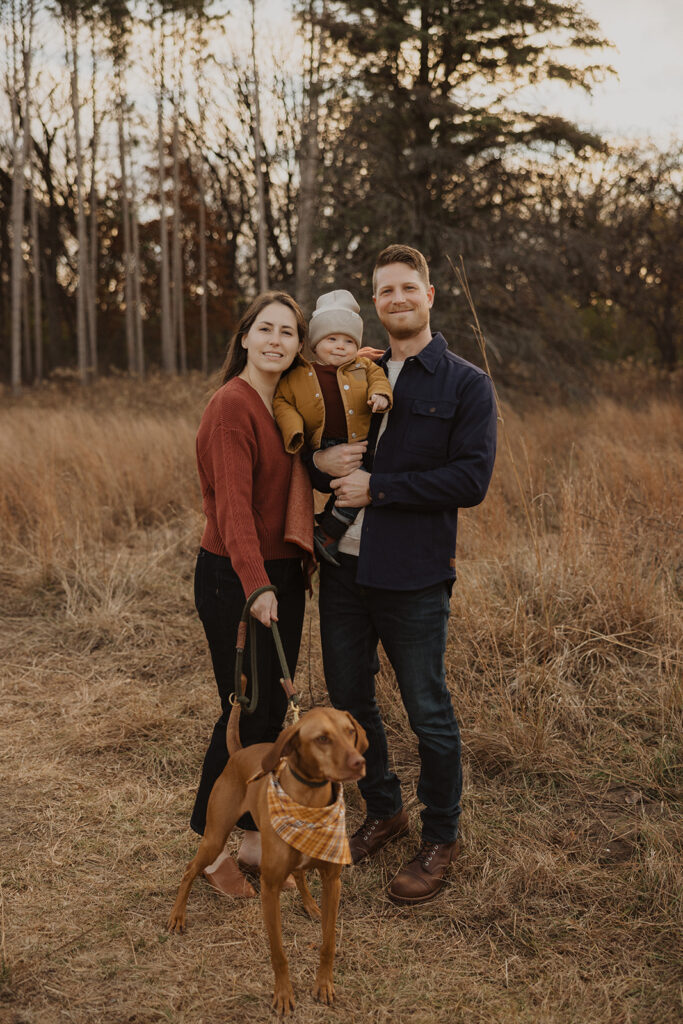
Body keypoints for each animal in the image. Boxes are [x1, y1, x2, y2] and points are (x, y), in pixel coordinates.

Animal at [166, 704, 368, 1015]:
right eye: (322, 738)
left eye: (349, 732)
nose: (359, 762)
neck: (309, 803)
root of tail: (239, 753)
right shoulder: (269, 890)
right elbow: (278, 951)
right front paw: (284, 994)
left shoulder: (332, 882)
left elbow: (328, 942)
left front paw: (324, 985)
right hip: (214, 837)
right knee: (190, 869)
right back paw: (177, 916)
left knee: (299, 874)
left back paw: (311, 905)